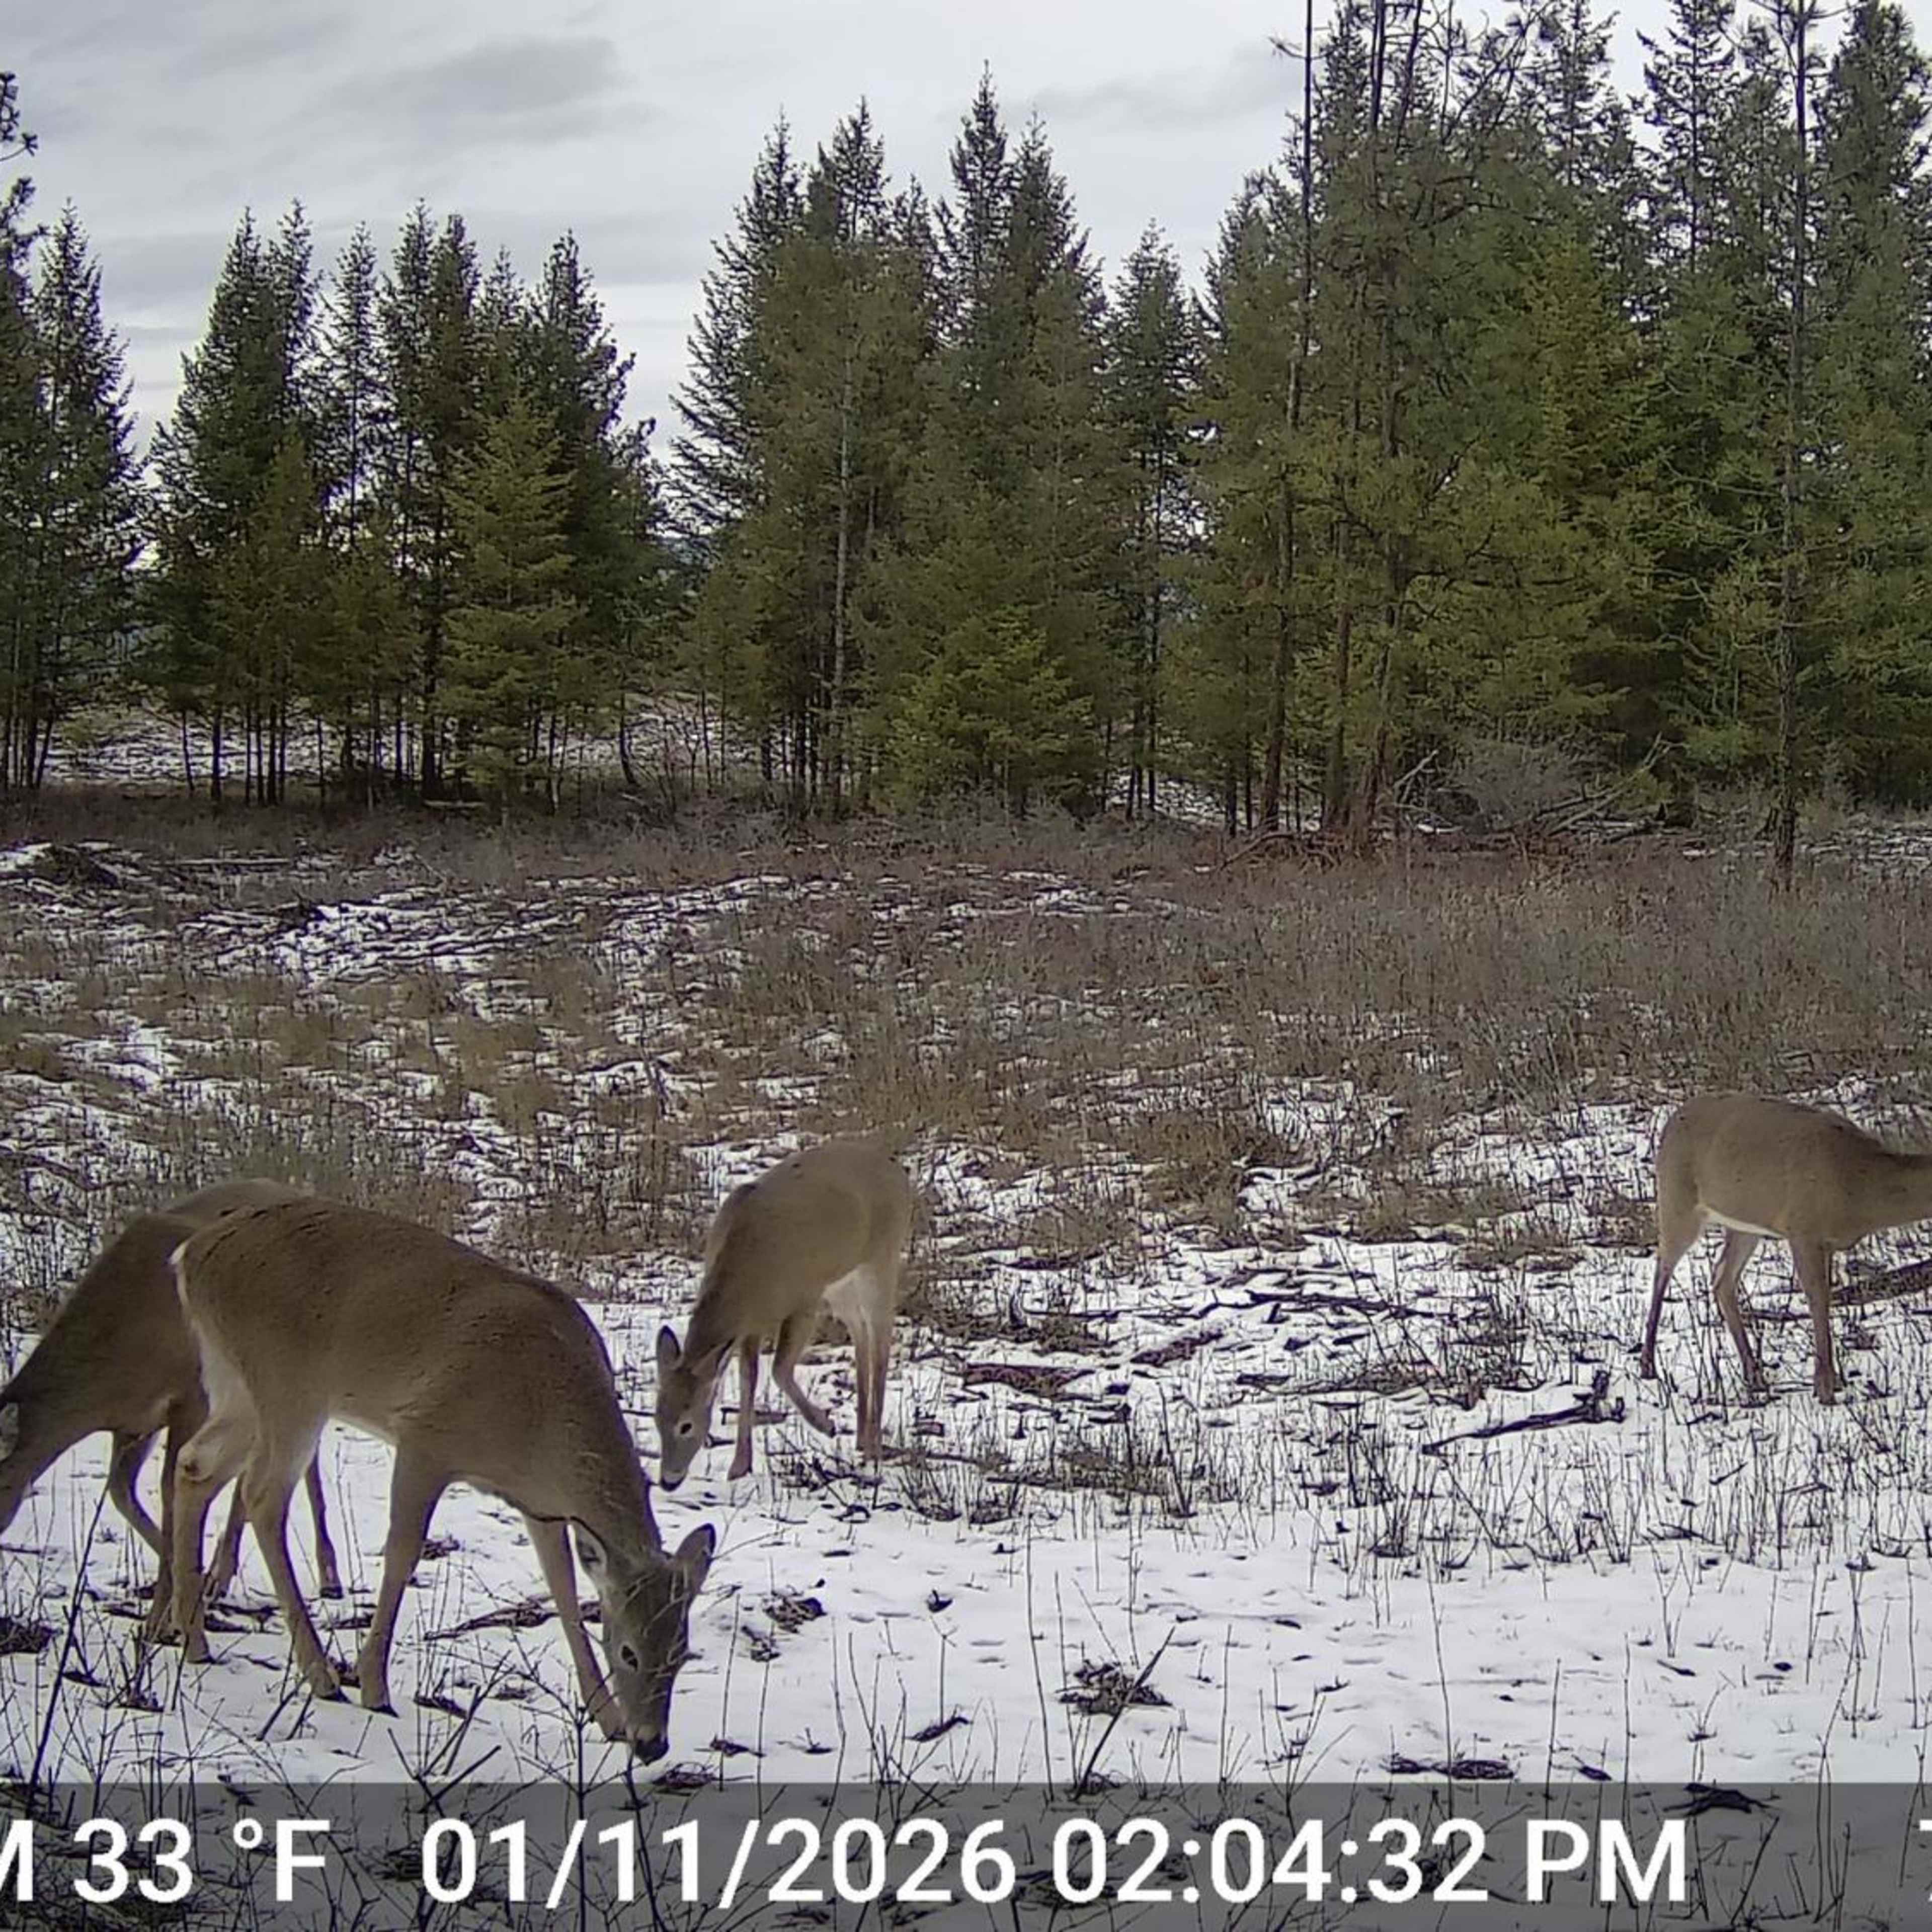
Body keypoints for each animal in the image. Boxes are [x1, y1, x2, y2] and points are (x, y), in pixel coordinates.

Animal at [0, 1179, 341, 1615]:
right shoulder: (133, 1422)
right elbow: (122, 1494)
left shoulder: (193, 1397)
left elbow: (168, 1491)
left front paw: (168, 1608)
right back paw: (219, 1576)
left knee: (304, 1464)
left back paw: (328, 1576)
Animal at [166, 1196, 716, 1761]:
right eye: (629, 1652)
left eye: (682, 1653)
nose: (653, 1744)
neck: (540, 1419)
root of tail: (190, 1256)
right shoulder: (426, 1438)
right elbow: (402, 1555)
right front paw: (374, 1686)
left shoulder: (541, 1506)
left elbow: (563, 1590)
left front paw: (607, 1720)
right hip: (289, 1386)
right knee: (261, 1495)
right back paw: (320, 1675)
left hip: (237, 1385)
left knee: (193, 1464)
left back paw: (194, 1639)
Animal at [655, 1139, 914, 1489]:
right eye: (657, 1419)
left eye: (686, 1425)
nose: (668, 1480)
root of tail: (898, 1171)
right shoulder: (750, 1325)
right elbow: (749, 1379)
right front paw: (739, 1465)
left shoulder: (804, 1299)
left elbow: (778, 1369)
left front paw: (825, 1424)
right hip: (841, 1283)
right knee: (861, 1333)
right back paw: (861, 1438)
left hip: (881, 1259)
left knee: (882, 1341)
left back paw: (873, 1446)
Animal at [1639, 1092, 1932, 1404]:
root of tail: (1670, 1123)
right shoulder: (1803, 1229)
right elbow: (1818, 1299)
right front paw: (1825, 1388)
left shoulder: (1824, 1241)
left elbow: (1825, 1297)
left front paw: (1831, 1382)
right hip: (1677, 1198)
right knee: (1663, 1268)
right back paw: (1648, 1366)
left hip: (1745, 1225)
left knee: (1722, 1279)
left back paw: (1755, 1376)